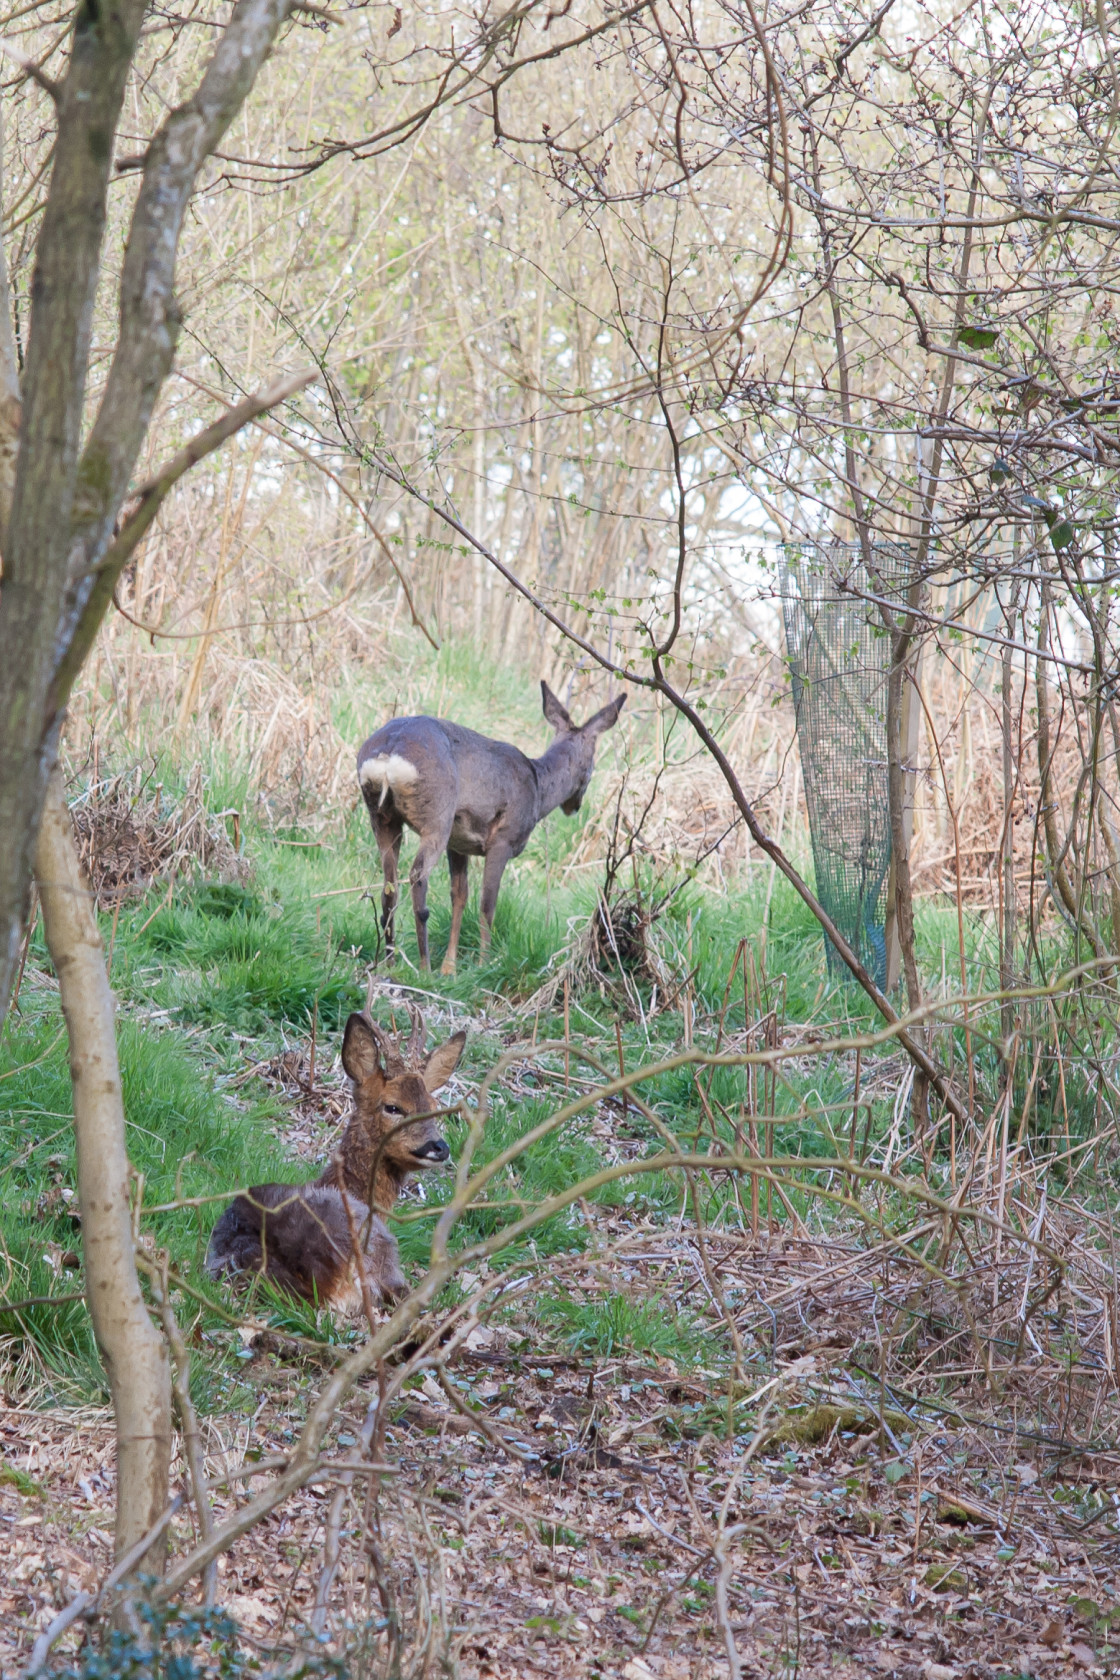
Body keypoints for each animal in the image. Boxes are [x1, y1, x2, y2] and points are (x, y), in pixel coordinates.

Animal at [357, 678, 628, 974]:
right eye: (592, 765)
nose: (574, 806)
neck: (538, 789)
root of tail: (389, 754)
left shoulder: (458, 843)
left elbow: (459, 897)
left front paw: (450, 968)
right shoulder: (503, 840)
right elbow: (487, 905)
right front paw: (482, 963)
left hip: (382, 817)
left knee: (389, 888)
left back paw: (390, 962)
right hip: (437, 813)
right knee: (417, 875)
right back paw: (424, 966)